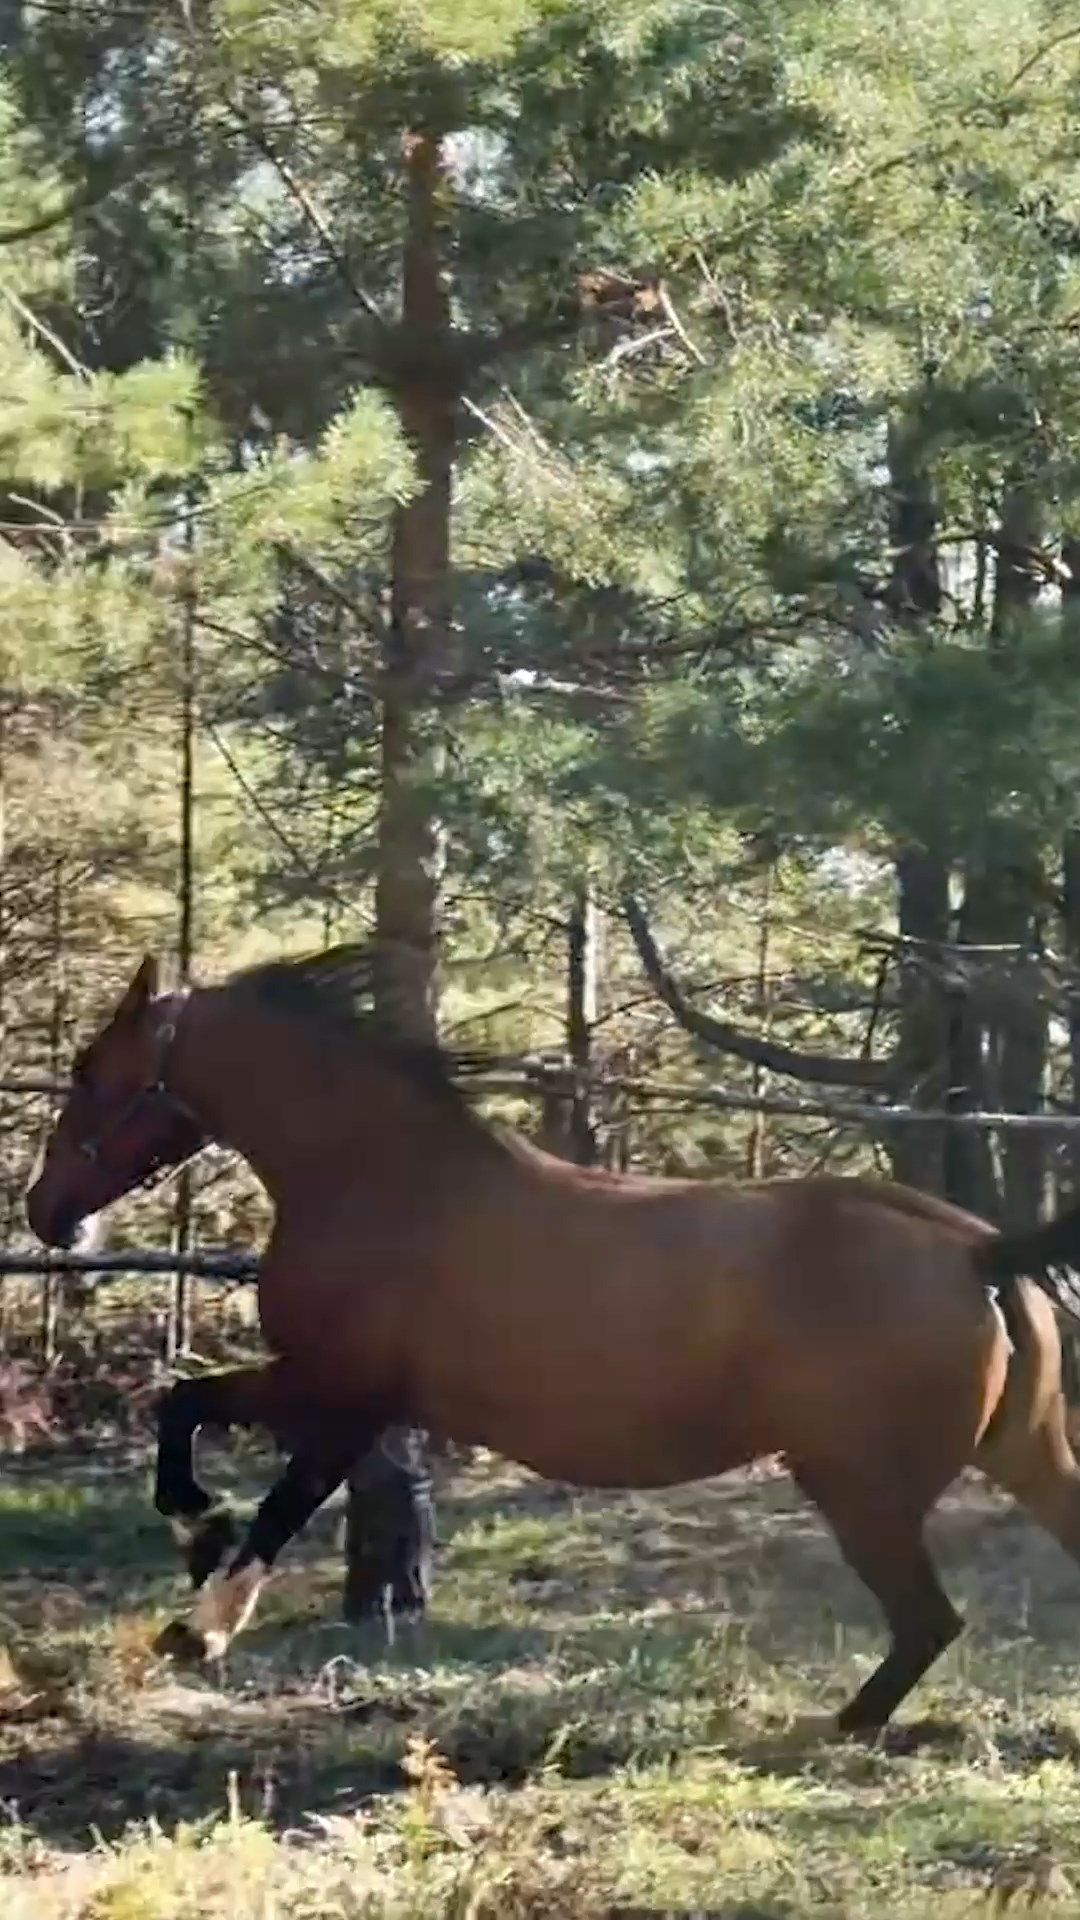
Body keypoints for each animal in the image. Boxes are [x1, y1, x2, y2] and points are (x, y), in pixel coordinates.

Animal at [24, 943, 1080, 1737]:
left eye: (91, 1072)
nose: (45, 1213)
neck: (384, 1182)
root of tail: (980, 1249)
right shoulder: (324, 1383)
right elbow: (186, 1402)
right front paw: (196, 1530)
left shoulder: (346, 1392)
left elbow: (275, 1498)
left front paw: (199, 1621)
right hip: (1021, 1453)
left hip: (858, 1483)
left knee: (927, 1620)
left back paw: (841, 1726)